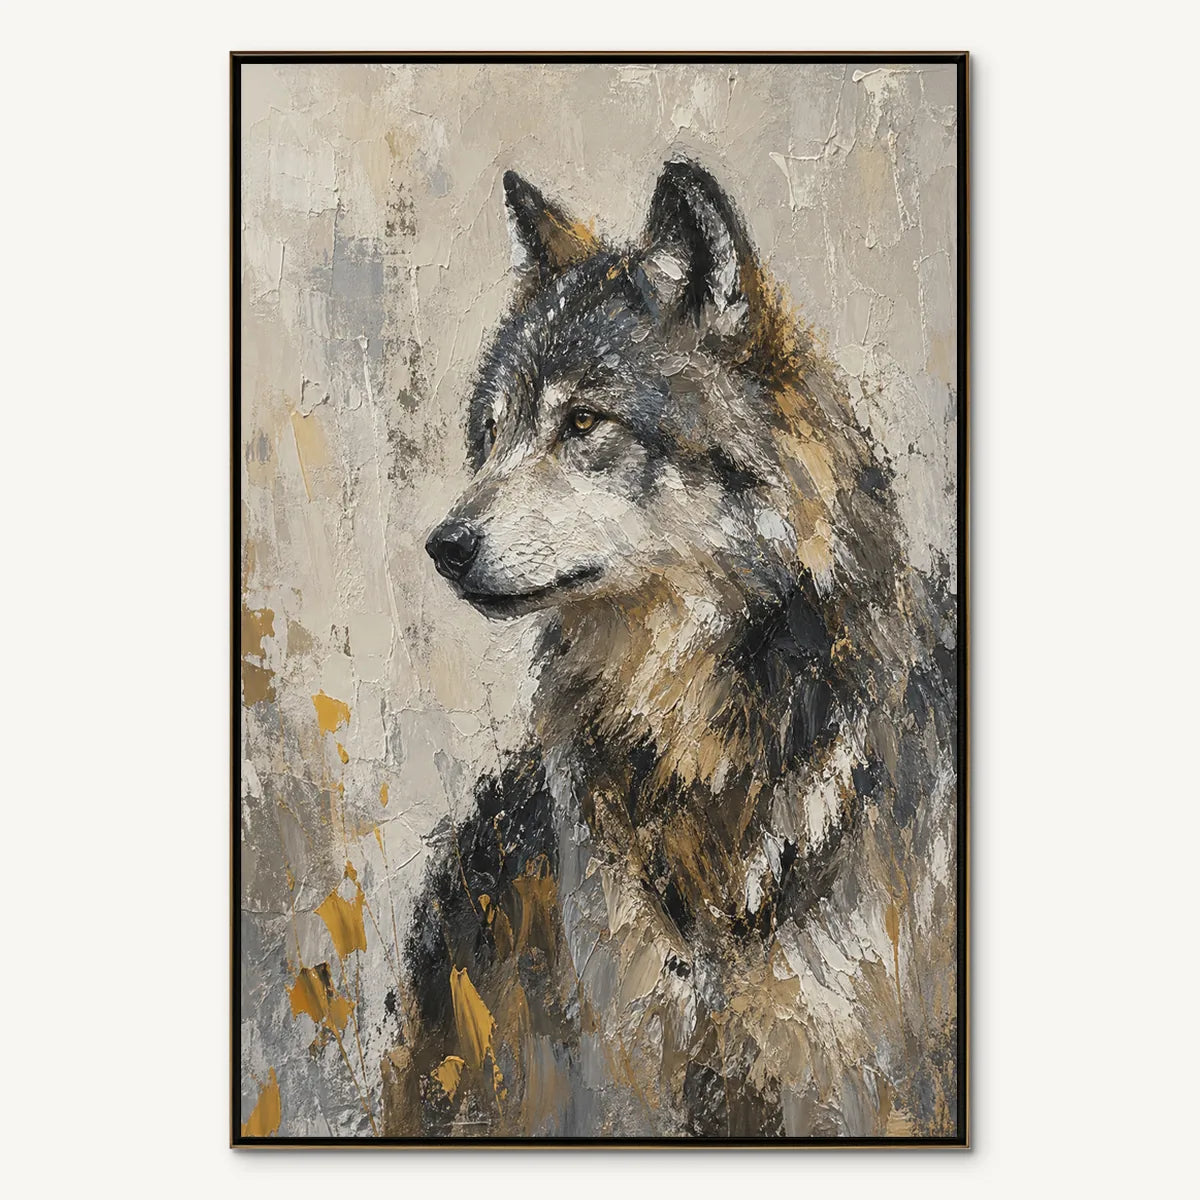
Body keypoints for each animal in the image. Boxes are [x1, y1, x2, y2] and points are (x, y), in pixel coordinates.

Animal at [384, 159, 959, 1139]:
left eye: (583, 423)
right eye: (492, 435)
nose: (444, 545)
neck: (693, 755)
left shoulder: (849, 1078)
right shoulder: (628, 1064)